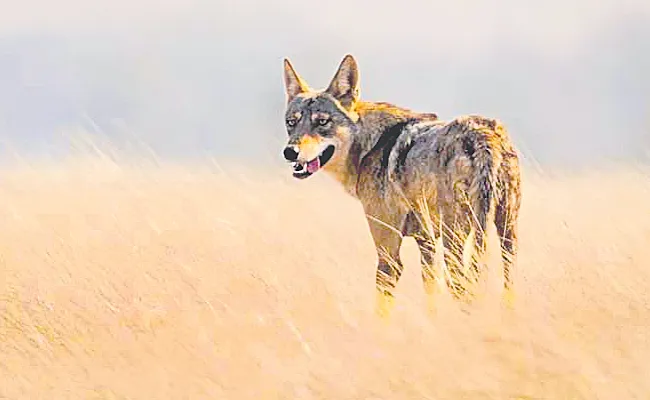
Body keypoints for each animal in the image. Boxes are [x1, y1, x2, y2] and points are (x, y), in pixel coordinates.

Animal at [280, 54, 520, 316]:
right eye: (291, 122)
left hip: (458, 243)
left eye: (322, 122)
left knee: (464, 290)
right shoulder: (426, 244)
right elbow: (431, 296)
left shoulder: (389, 255)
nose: (290, 152)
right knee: (507, 288)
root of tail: (483, 135)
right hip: (506, 239)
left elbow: (382, 311)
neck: (369, 147)